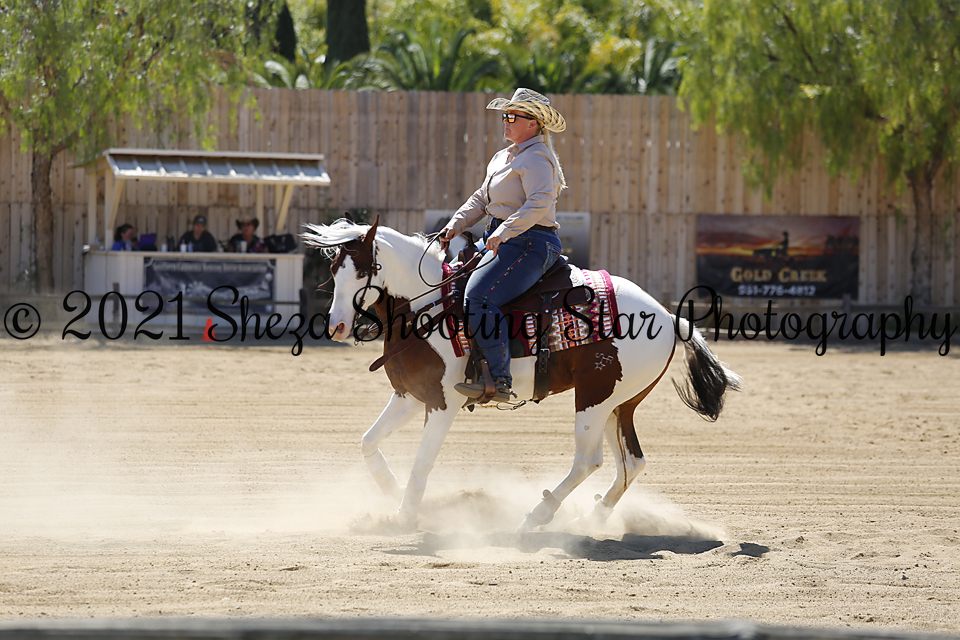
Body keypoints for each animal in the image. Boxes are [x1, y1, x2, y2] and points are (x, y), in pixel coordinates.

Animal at [302, 217, 742, 531]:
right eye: (334, 271)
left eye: (363, 271)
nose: (336, 326)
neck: (430, 309)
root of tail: (668, 317)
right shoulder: (410, 396)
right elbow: (368, 443)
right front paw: (393, 494)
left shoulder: (444, 403)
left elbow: (422, 461)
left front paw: (405, 515)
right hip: (620, 404)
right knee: (631, 463)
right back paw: (591, 519)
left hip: (594, 399)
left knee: (588, 461)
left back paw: (538, 516)